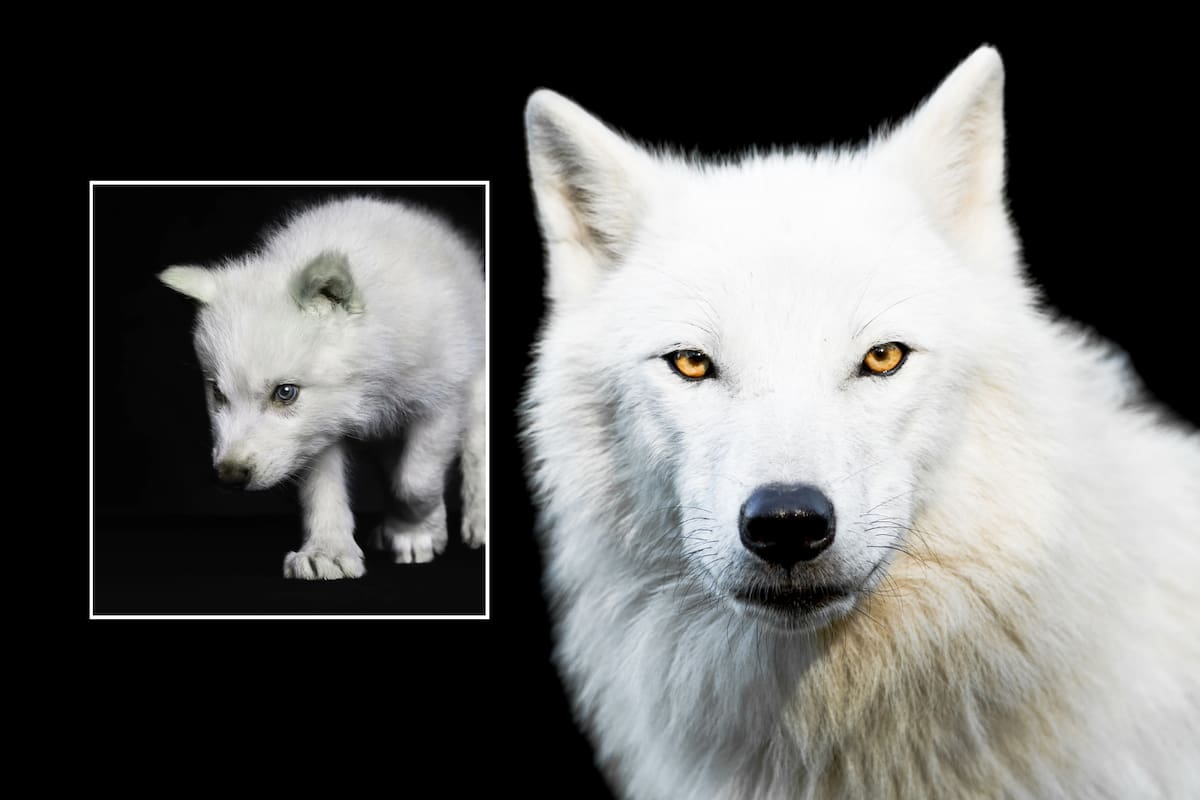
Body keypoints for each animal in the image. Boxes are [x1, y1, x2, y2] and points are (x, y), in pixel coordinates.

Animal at [160, 196, 486, 579]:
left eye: (285, 393)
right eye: (218, 394)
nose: (228, 476)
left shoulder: (441, 401)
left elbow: (415, 482)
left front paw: (415, 533)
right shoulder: (317, 431)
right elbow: (324, 490)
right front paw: (327, 552)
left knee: (475, 447)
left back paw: (477, 522)